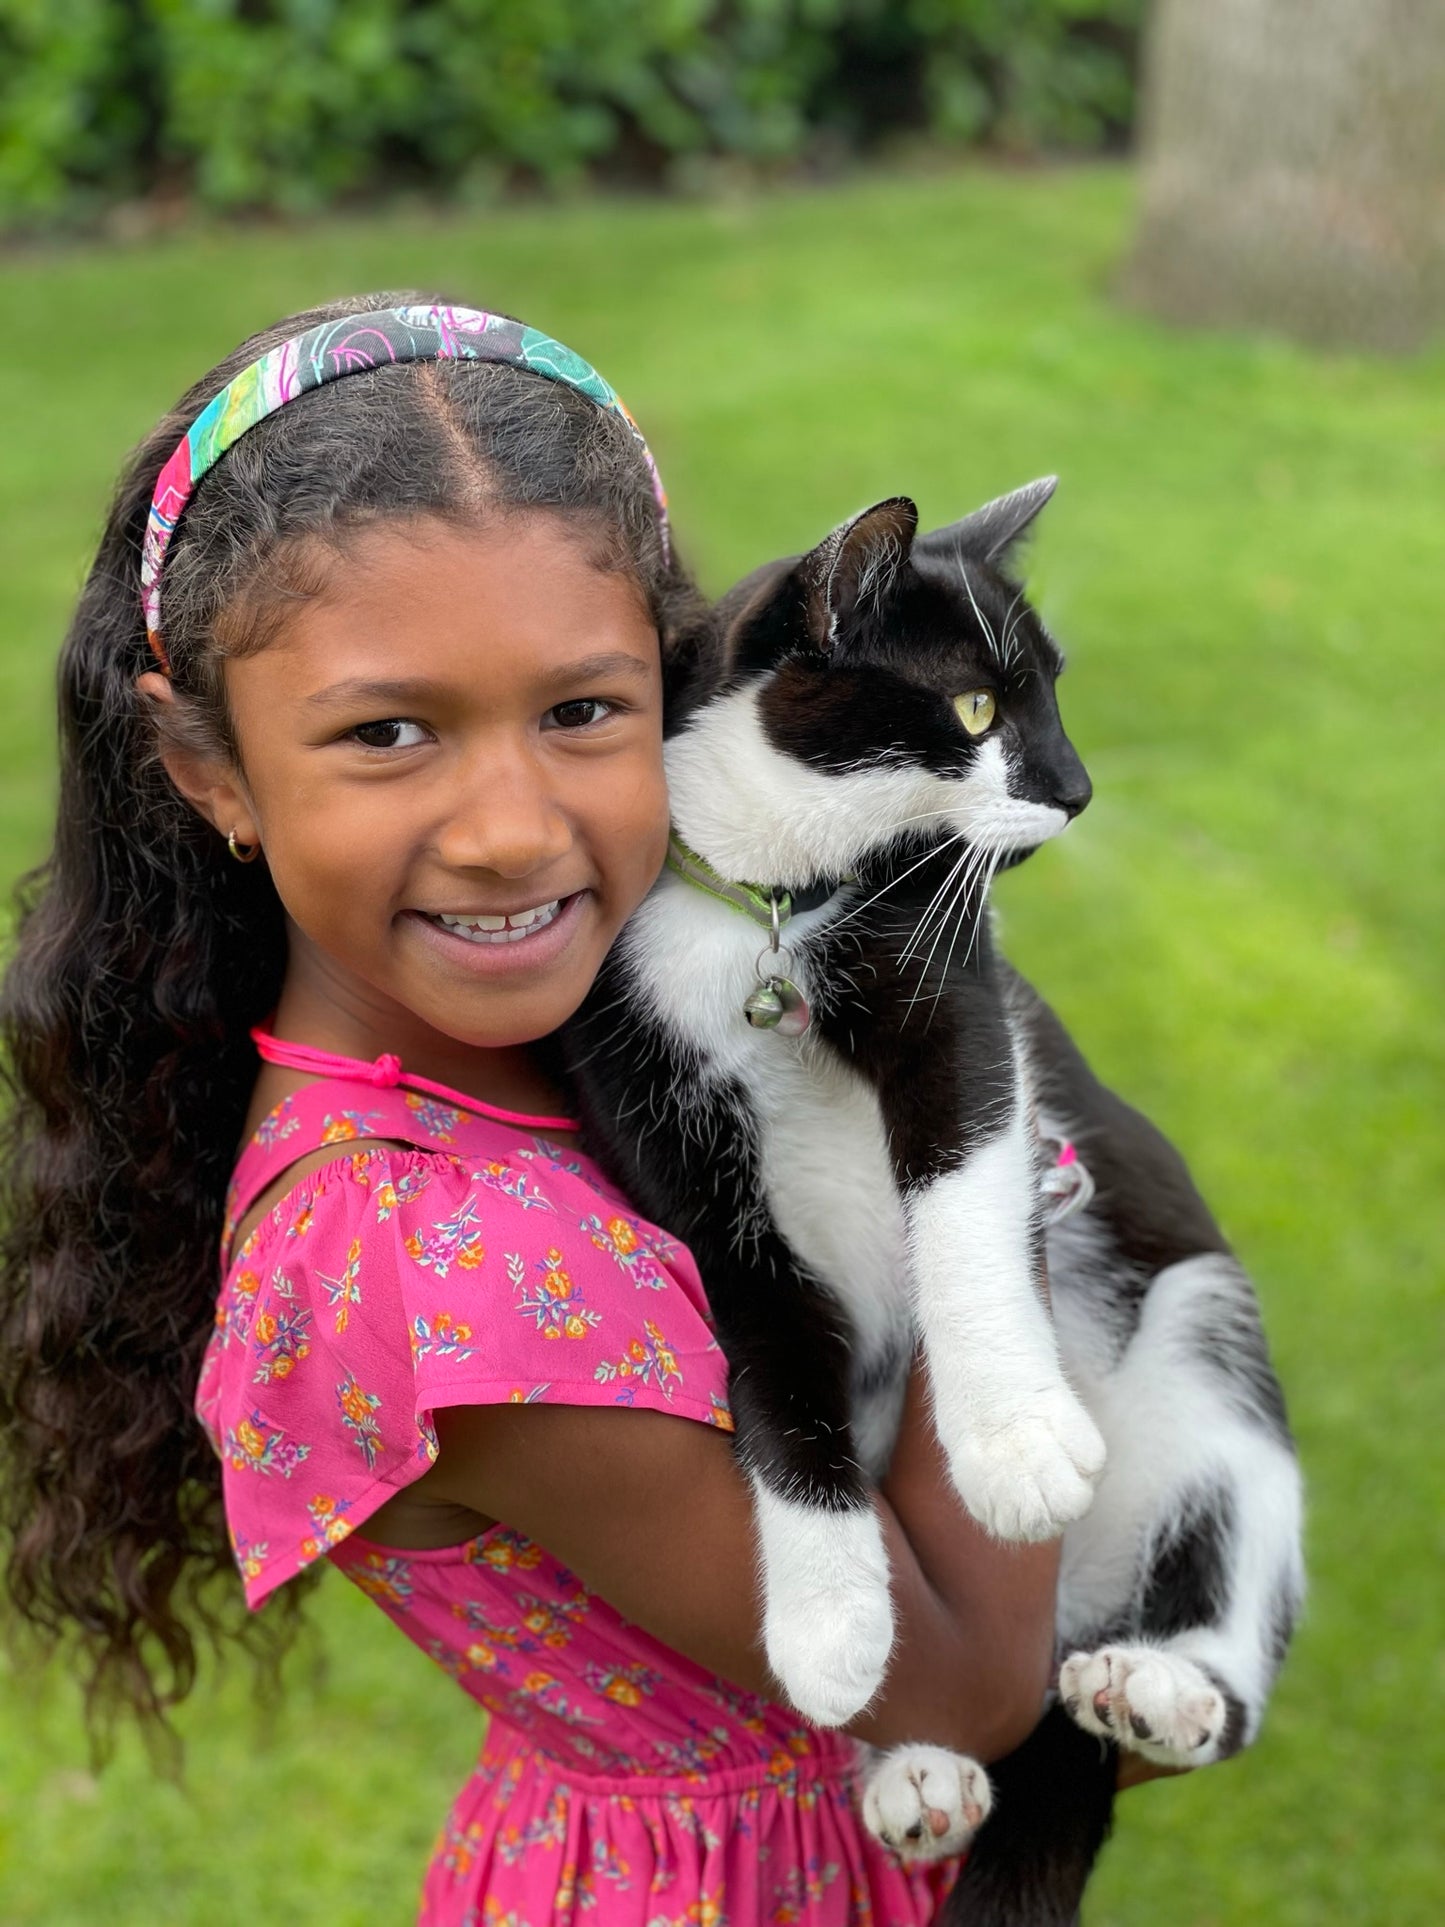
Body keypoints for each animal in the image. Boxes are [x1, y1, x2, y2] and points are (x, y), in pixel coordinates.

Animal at [558, 485, 1310, 1911]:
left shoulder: (953, 999)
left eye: (1054, 694)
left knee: (1232, 1573)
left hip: (1202, 1333)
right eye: (971, 709)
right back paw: (914, 1768)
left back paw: (1164, 1688)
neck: (764, 915)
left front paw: (1012, 1443)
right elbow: (768, 1348)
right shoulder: (648, 1110)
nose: (1075, 788)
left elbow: (961, 1188)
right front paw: (828, 1621)